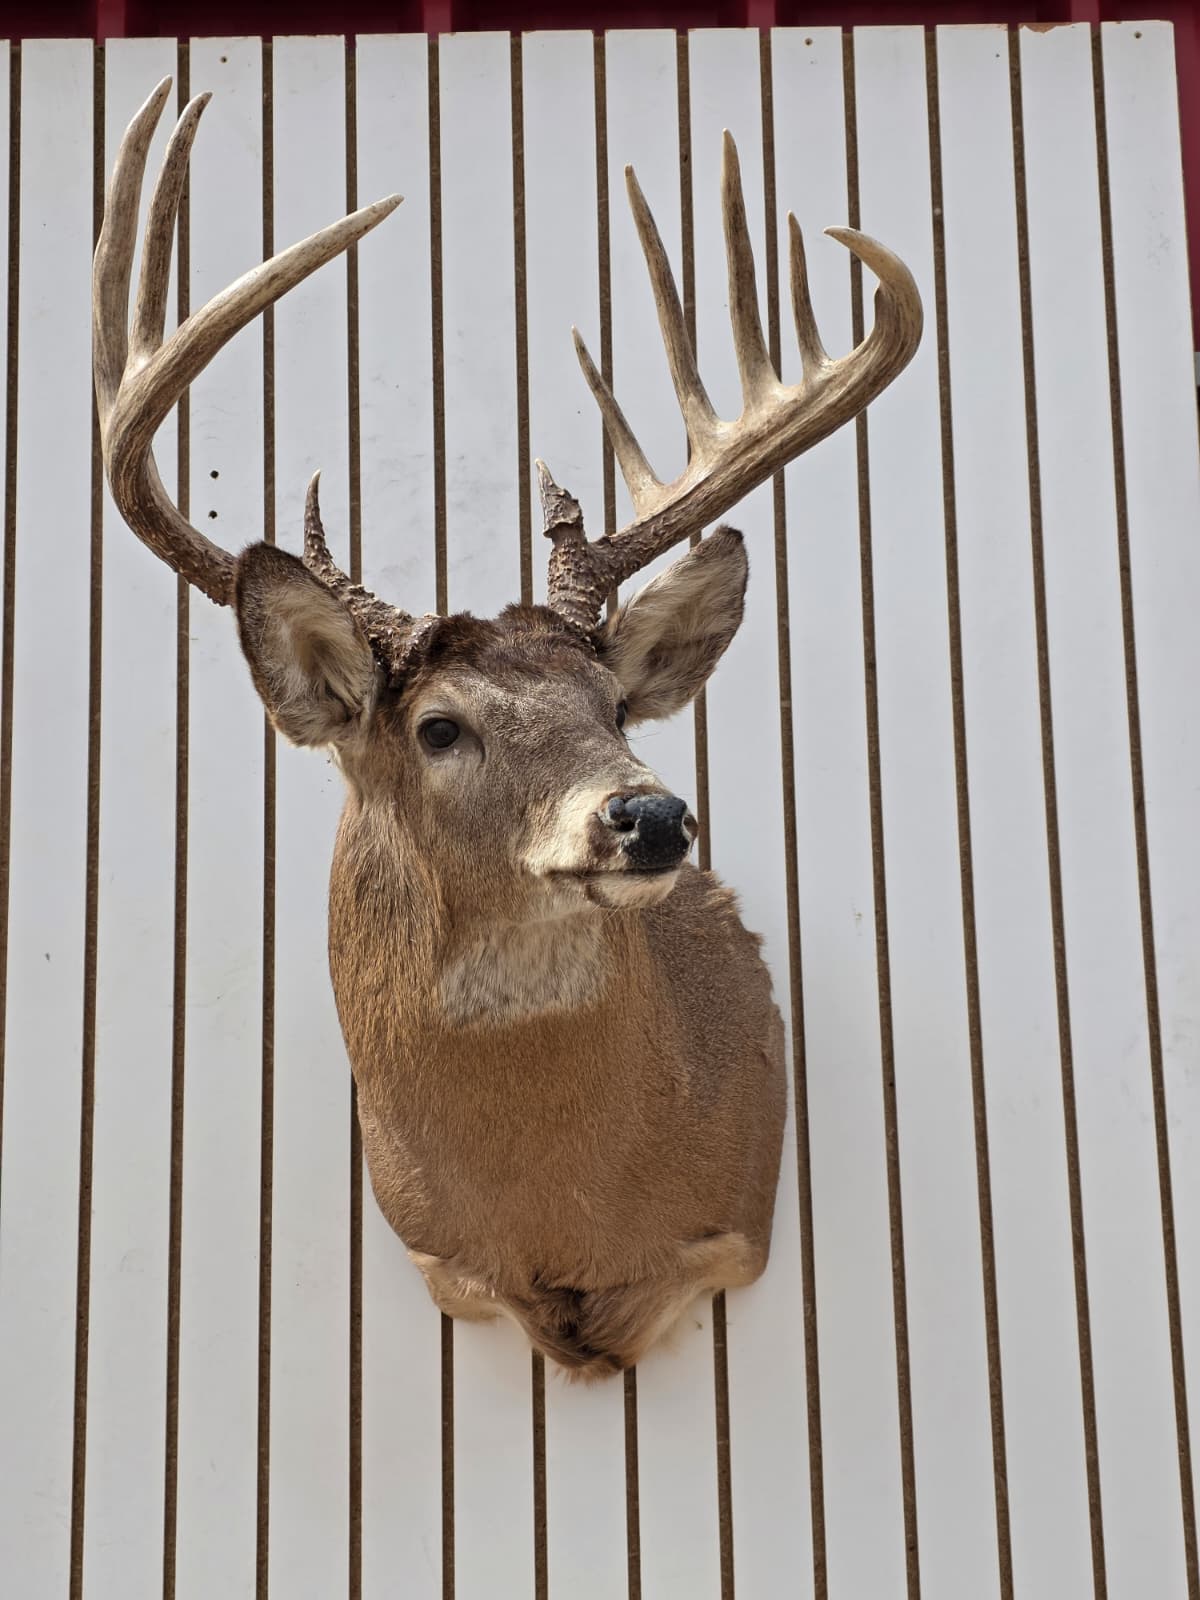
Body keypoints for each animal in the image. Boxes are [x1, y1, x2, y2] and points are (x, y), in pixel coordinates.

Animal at [95, 80, 922, 1378]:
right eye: (440, 727)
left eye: (613, 705)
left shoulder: (722, 1241)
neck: (559, 1219)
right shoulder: (441, 1255)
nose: (649, 814)